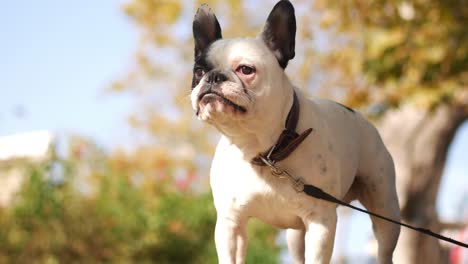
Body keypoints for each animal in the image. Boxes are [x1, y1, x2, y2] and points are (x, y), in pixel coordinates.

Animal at [191, 1, 402, 262]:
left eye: (246, 70)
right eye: (198, 72)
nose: (213, 77)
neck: (262, 151)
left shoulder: (320, 222)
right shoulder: (230, 224)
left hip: (385, 209)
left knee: (384, 247)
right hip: (295, 235)